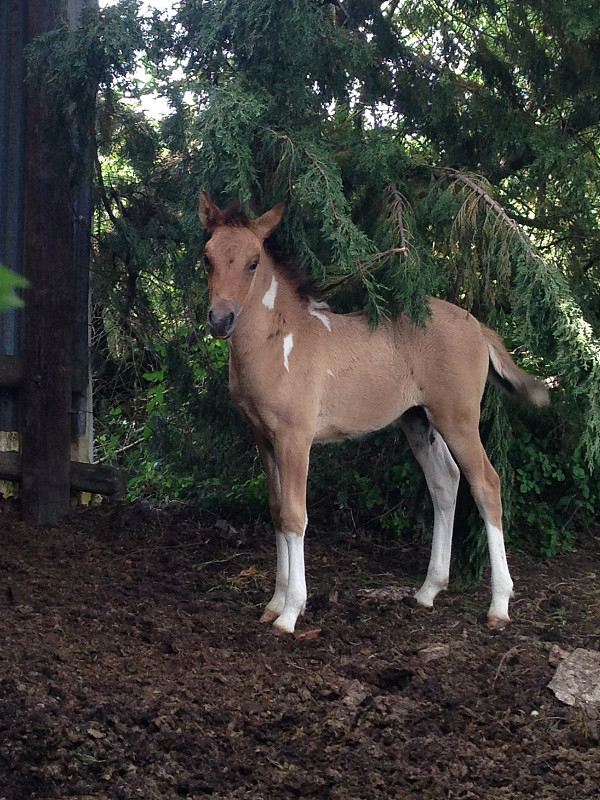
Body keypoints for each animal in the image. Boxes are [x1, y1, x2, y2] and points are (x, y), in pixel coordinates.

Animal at [200, 191, 548, 636]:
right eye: (207, 257)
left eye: (253, 261)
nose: (220, 319)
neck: (278, 342)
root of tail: (478, 327)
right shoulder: (264, 439)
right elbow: (277, 513)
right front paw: (274, 603)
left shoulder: (296, 439)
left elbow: (296, 516)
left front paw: (291, 612)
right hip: (417, 420)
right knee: (445, 482)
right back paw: (428, 591)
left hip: (458, 418)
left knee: (486, 484)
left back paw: (499, 604)